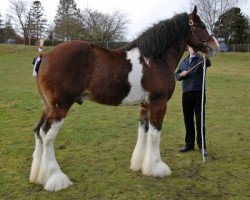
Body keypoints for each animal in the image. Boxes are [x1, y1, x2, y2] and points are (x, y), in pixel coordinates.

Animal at [30, 5, 220, 191]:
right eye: (201, 26)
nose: (216, 46)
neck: (155, 59)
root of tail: (44, 56)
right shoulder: (158, 104)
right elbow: (155, 135)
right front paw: (158, 167)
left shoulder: (145, 105)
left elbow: (143, 132)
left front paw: (141, 165)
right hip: (60, 106)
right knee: (47, 136)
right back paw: (56, 178)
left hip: (48, 106)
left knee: (38, 132)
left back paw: (38, 176)